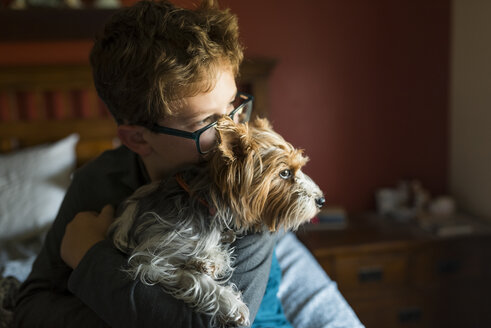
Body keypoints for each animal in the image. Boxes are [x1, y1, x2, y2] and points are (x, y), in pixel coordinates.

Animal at [110, 116, 326, 326]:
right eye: (285, 173)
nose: (321, 200)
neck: (207, 200)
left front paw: (209, 262)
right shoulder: (152, 260)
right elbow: (195, 279)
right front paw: (231, 304)